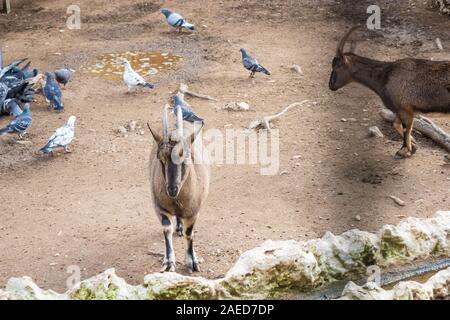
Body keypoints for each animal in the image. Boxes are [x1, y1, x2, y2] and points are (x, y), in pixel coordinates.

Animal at [149, 105, 210, 272]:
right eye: (161, 158)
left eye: (185, 156)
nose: (172, 189)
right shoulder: (159, 208)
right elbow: (166, 229)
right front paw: (169, 262)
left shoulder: (194, 212)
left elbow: (190, 233)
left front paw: (192, 262)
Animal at [326, 26, 450, 158]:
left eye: (336, 66)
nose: (331, 85)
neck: (385, 76)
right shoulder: (404, 111)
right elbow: (397, 124)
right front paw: (413, 144)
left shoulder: (404, 109)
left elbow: (405, 129)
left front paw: (403, 150)